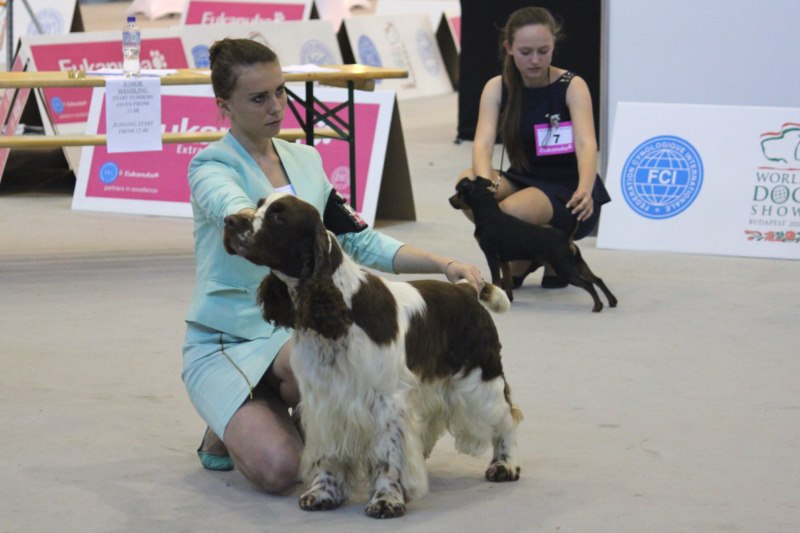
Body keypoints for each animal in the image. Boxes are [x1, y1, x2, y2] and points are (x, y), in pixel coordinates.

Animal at [223, 192, 523, 519]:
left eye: (278, 216)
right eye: (259, 204)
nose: (229, 221)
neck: (341, 310)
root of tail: (467, 289)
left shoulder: (386, 401)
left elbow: (388, 456)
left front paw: (387, 500)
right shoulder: (325, 400)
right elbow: (329, 454)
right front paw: (323, 493)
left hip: (480, 381)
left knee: (507, 418)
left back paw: (505, 464)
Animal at [449, 176, 618, 312]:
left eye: (459, 192)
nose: (450, 200)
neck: (488, 213)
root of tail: (565, 236)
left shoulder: (492, 256)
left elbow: (496, 280)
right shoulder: (504, 260)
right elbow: (508, 281)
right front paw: (508, 299)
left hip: (564, 267)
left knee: (588, 284)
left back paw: (597, 306)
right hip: (577, 263)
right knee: (597, 279)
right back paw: (612, 301)